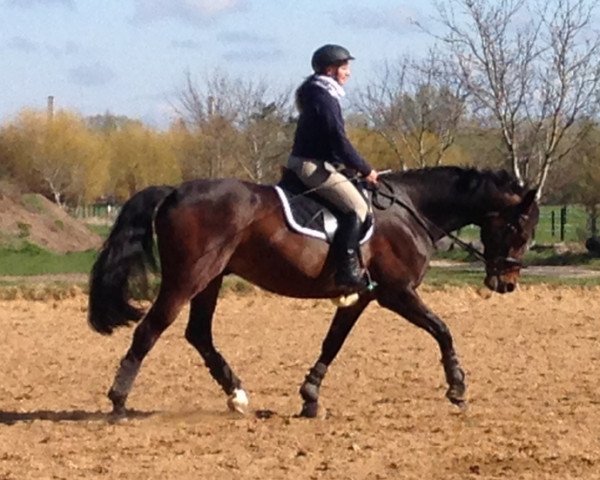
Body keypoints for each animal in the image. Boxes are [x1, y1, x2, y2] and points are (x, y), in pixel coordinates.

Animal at [88, 167, 540, 418]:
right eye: (519, 228)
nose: (507, 284)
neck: (411, 210)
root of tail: (173, 191)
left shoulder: (361, 296)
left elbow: (333, 342)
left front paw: (309, 397)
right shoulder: (397, 293)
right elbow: (442, 330)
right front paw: (458, 389)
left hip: (211, 279)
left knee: (198, 333)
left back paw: (237, 395)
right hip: (187, 278)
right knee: (150, 330)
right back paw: (118, 402)